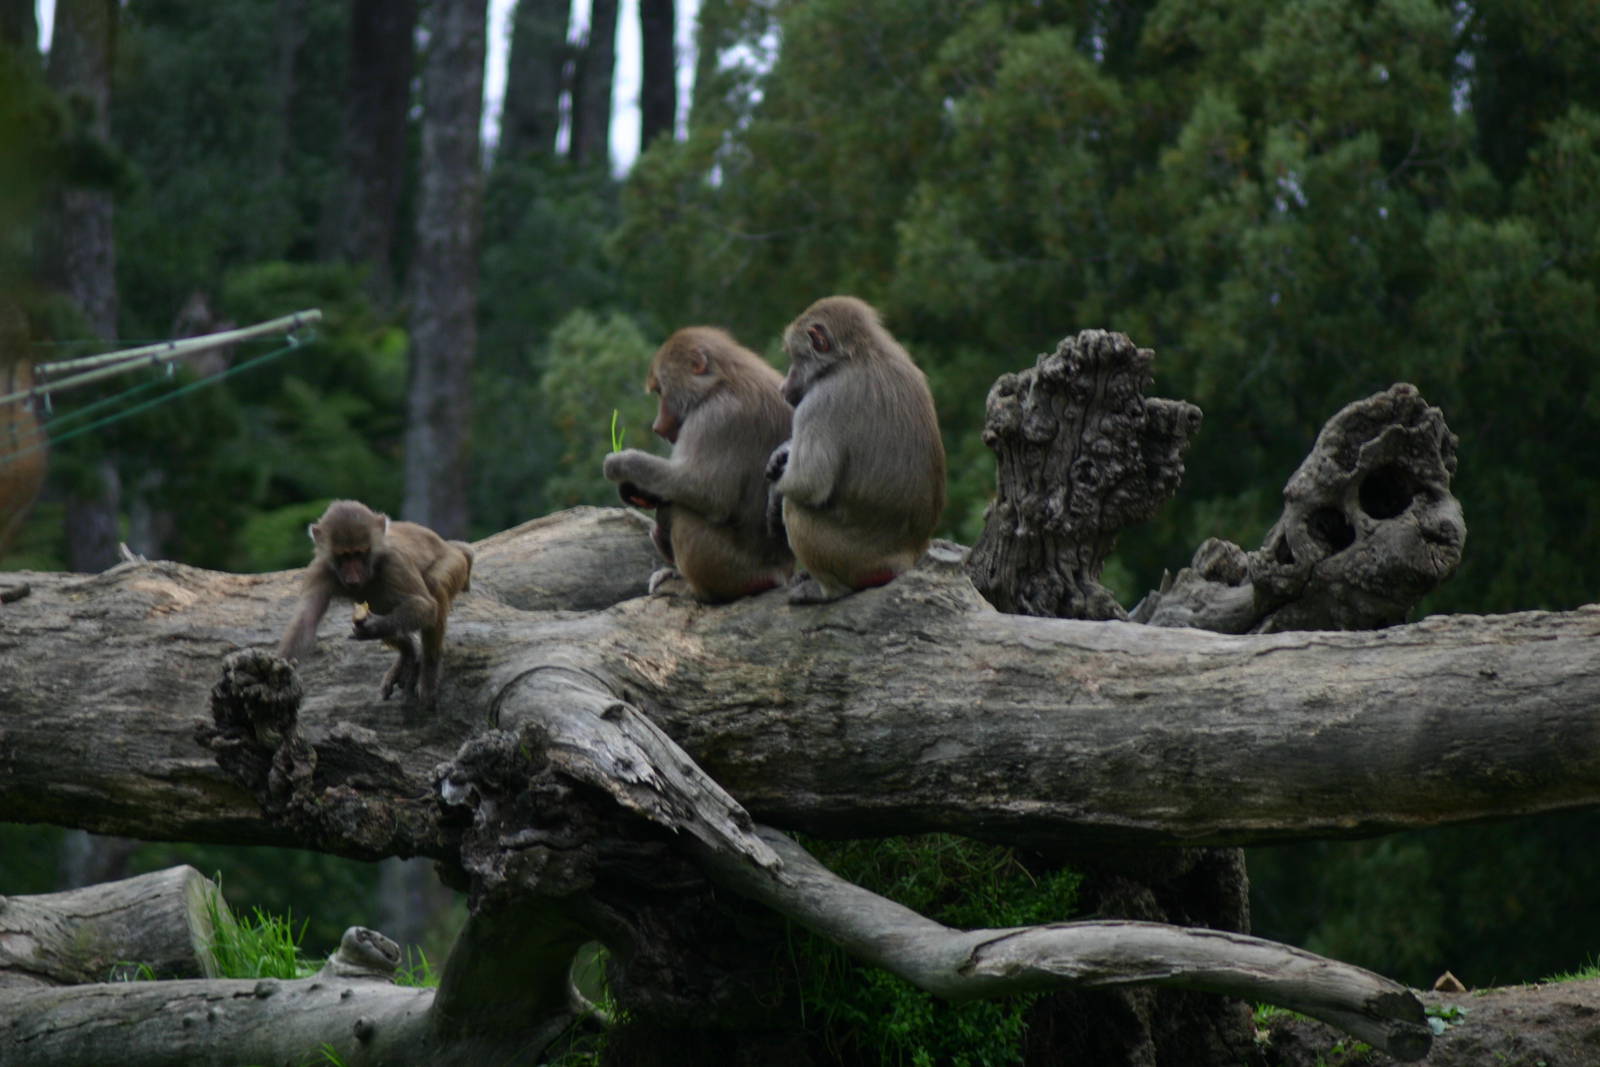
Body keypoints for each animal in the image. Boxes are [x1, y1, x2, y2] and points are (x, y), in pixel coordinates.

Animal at [277, 500, 473, 711]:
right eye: (344, 556)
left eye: (359, 554)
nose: (353, 577)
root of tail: (448, 545)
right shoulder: (319, 571)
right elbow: (305, 621)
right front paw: (281, 670)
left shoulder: (394, 561)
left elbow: (426, 607)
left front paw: (374, 627)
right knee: (379, 601)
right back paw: (407, 652)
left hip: (454, 562)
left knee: (433, 584)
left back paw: (429, 669)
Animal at [603, 326, 794, 602]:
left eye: (661, 391)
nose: (657, 427)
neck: (721, 382)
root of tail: (784, 572)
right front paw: (635, 492)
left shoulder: (716, 416)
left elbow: (708, 492)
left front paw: (622, 463)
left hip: (735, 569)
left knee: (681, 510)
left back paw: (692, 589)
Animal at [766, 295, 946, 603]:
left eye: (796, 357)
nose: (782, 387)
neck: (856, 355)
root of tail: (907, 558)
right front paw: (782, 454)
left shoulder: (820, 402)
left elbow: (807, 484)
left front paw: (776, 493)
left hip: (853, 559)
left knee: (797, 508)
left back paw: (826, 591)